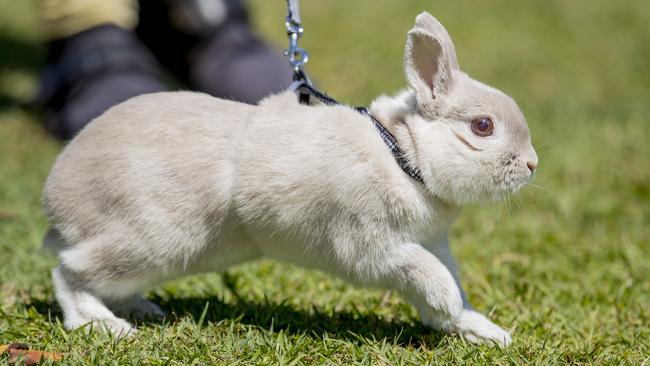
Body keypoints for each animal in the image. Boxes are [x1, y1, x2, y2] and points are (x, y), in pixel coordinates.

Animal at [43, 12, 536, 348]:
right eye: (483, 127)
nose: (532, 165)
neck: (402, 156)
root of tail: (56, 199)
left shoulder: (432, 243)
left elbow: (448, 289)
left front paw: (483, 330)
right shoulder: (374, 246)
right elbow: (426, 273)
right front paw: (451, 303)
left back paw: (143, 309)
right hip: (148, 242)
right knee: (67, 272)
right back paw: (104, 324)